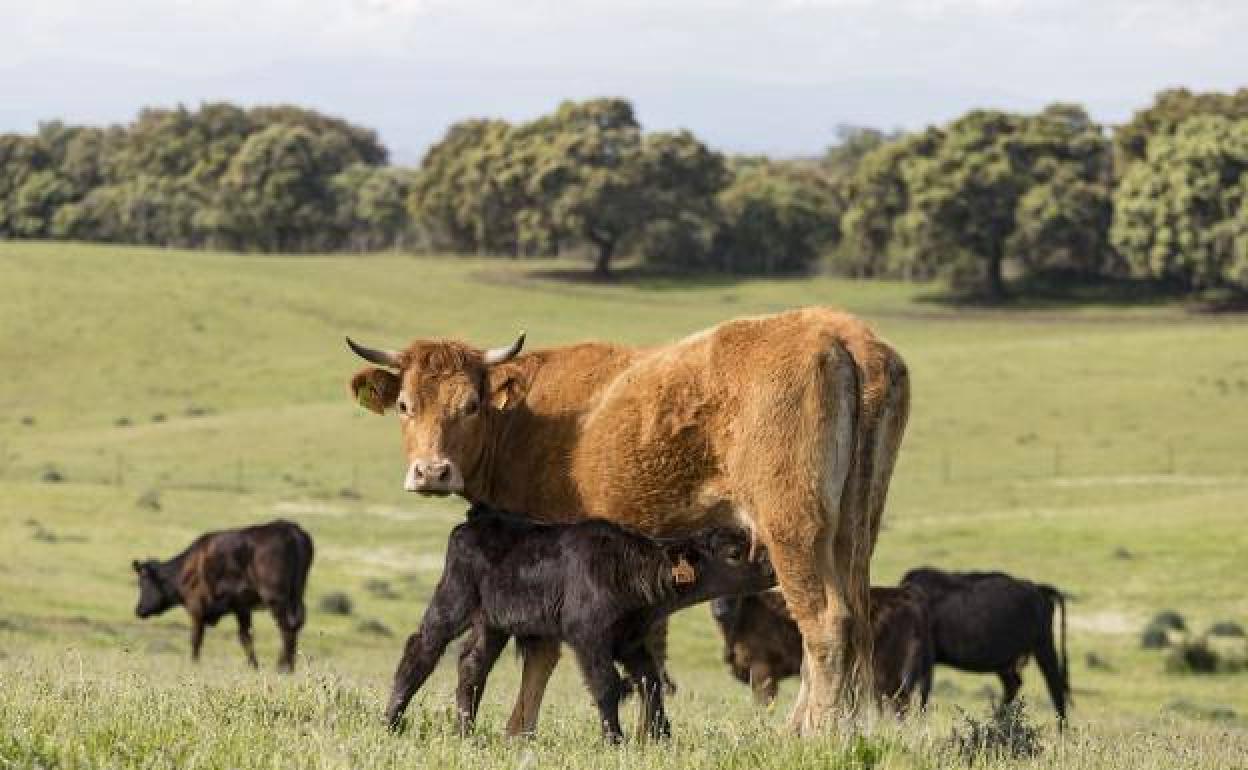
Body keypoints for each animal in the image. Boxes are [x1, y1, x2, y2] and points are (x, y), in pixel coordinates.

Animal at [132, 516, 314, 673]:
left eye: (143, 583)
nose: (139, 610)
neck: (185, 570)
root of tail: (290, 529)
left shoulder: (196, 605)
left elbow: (196, 638)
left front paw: (194, 664)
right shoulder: (241, 606)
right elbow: (245, 637)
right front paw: (253, 666)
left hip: (275, 596)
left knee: (286, 626)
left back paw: (283, 667)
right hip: (298, 592)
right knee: (297, 623)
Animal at [384, 501, 773, 743]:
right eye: (734, 553)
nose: (772, 568)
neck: (628, 569)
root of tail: (479, 518)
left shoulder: (631, 639)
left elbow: (651, 682)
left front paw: (661, 738)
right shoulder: (587, 635)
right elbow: (607, 684)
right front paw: (615, 740)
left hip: (492, 621)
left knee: (472, 664)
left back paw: (465, 732)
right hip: (454, 598)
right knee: (422, 647)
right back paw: (391, 721)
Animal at [898, 564, 1073, 718]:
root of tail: (1039, 589)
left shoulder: (925, 657)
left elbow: (921, 691)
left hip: (1043, 647)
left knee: (1055, 688)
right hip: (1005, 662)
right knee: (1014, 685)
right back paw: (998, 720)